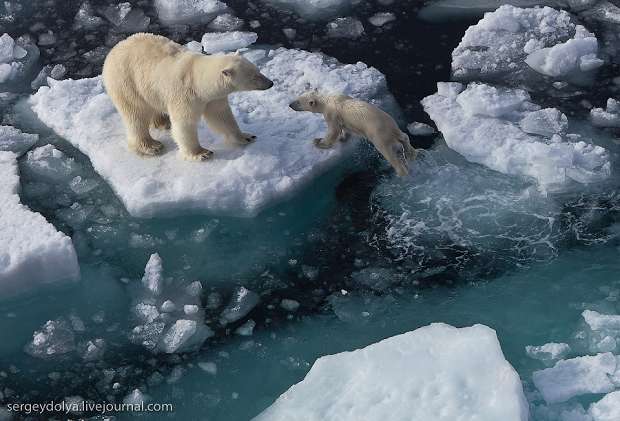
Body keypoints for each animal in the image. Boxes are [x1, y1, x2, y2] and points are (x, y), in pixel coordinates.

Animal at [103, 32, 272, 160]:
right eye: (254, 76)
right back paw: (151, 146)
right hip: (126, 81)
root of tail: (113, 50)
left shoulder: (212, 99)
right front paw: (202, 153)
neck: (198, 80)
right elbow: (185, 124)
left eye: (258, 70)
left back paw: (163, 122)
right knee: (135, 114)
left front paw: (246, 137)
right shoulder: (185, 95)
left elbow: (222, 117)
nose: (270, 83)